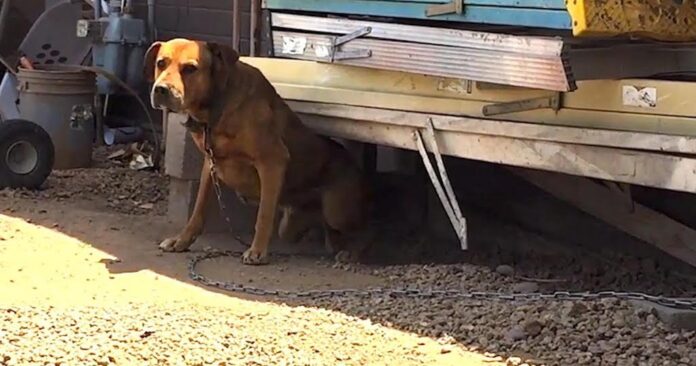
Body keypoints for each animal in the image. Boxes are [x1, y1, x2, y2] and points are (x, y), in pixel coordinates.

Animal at [145, 38, 372, 264]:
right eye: (161, 63)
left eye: (190, 69)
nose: (161, 89)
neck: (217, 105)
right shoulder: (210, 165)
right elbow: (198, 209)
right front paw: (182, 240)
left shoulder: (272, 161)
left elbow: (264, 215)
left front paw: (257, 251)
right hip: (295, 224)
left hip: (337, 212)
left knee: (363, 231)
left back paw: (352, 254)